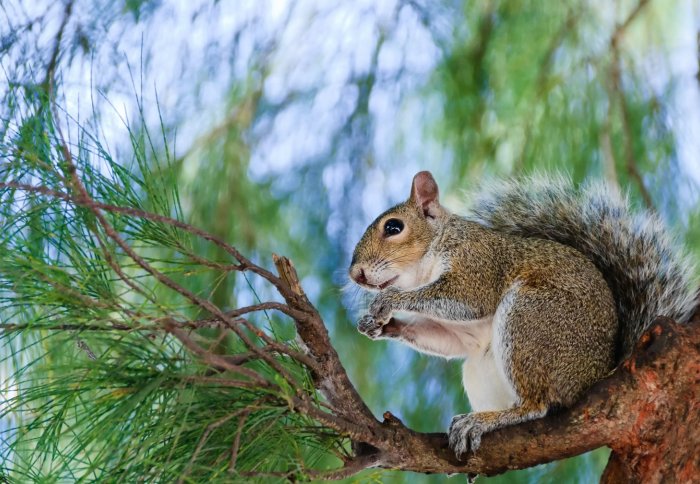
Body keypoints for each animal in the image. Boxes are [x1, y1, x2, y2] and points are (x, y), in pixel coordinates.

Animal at [348, 171, 696, 458]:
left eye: (394, 227)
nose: (355, 274)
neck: (434, 251)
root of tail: (599, 373)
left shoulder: (477, 264)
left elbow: (467, 298)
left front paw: (389, 301)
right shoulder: (464, 333)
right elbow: (451, 340)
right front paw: (379, 326)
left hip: (530, 319)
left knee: (536, 405)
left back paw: (486, 420)